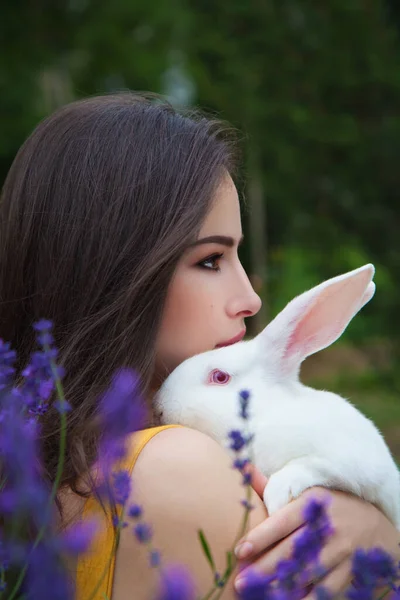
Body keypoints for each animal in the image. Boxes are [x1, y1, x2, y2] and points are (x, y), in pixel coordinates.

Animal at [155, 264, 400, 528]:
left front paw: (278, 494)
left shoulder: (352, 462)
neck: (266, 415)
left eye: (220, 377)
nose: (159, 406)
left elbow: (309, 465)